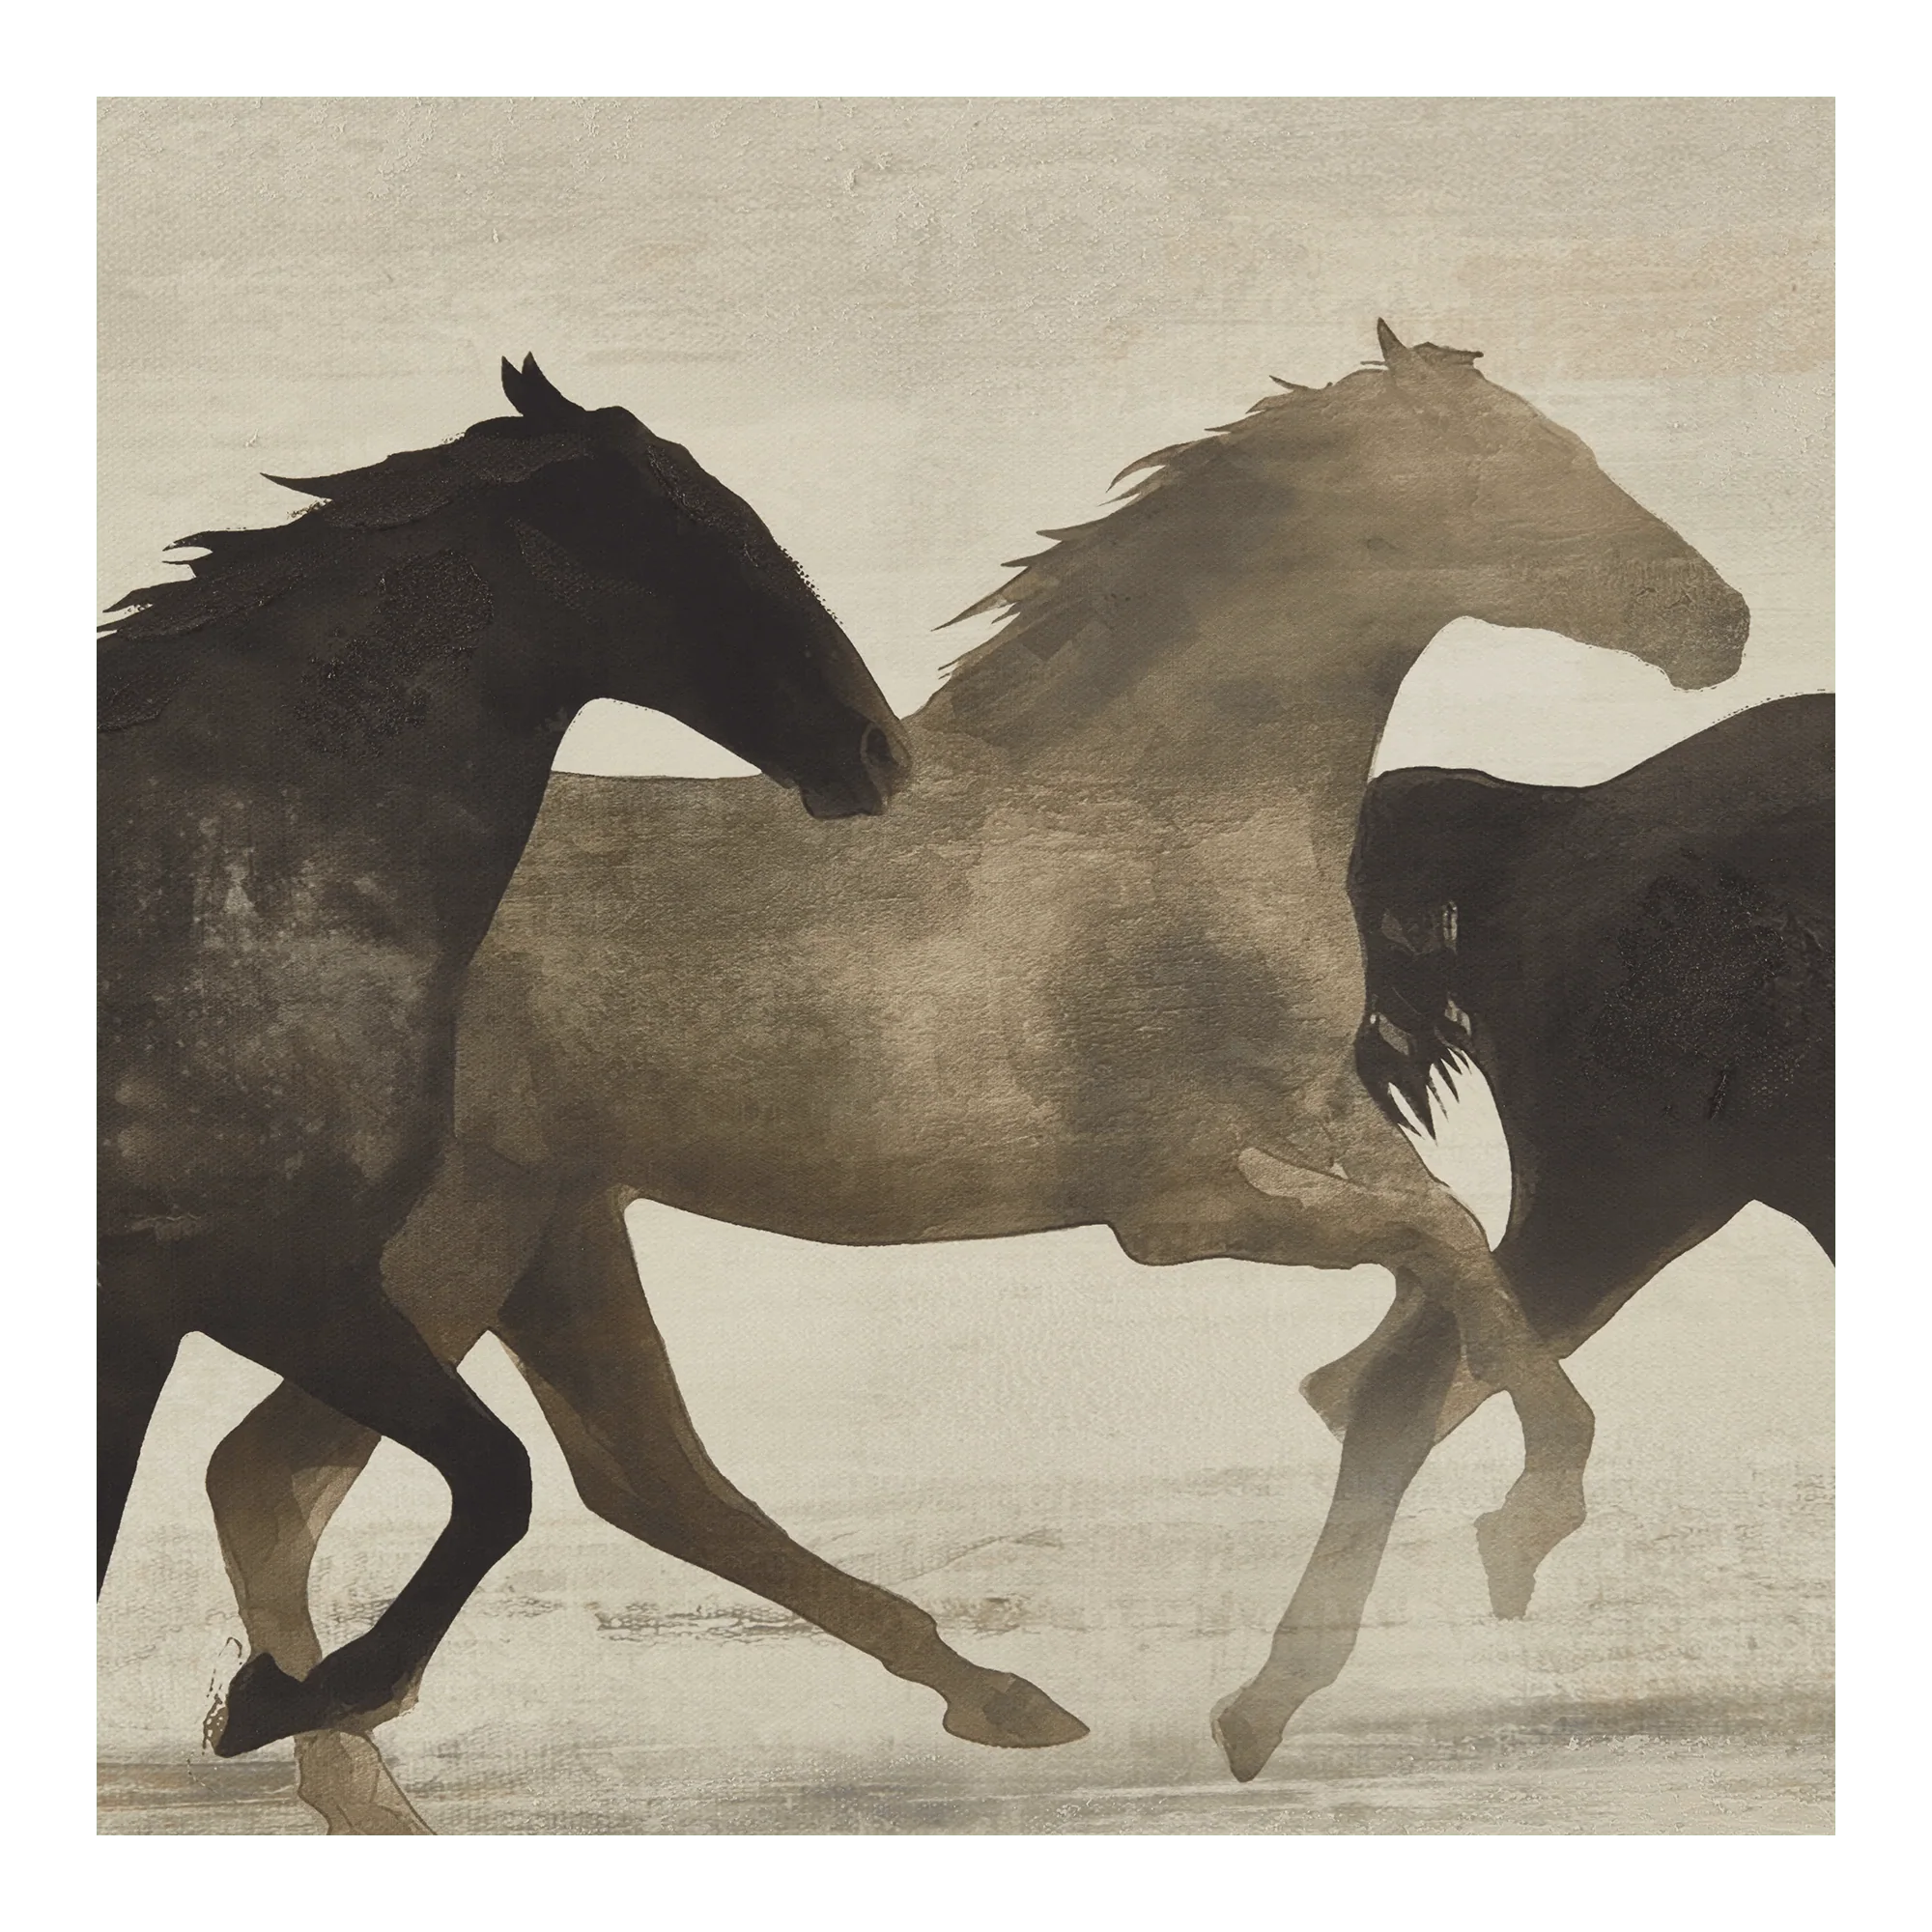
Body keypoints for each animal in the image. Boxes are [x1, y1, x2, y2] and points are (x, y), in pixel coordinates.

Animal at [97, 355, 912, 1763]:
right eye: (717, 539)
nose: (882, 751)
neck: (233, 874)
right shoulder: (268, 1278)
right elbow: (500, 1478)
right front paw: (290, 1693)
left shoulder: (155, 1315)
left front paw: (282, 1691)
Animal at [202, 324, 1751, 1831]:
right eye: (1532, 466)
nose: (1720, 621)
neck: (1155, 823)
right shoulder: (1171, 1208)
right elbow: (1437, 1236)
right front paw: (1524, 1517)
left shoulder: (1319, 1117)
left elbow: (1459, 1244)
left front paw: (1401, 1443)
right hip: (446, 1241)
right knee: (273, 1476)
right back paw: (355, 1779)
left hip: (556, 1225)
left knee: (648, 1478)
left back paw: (999, 1699)